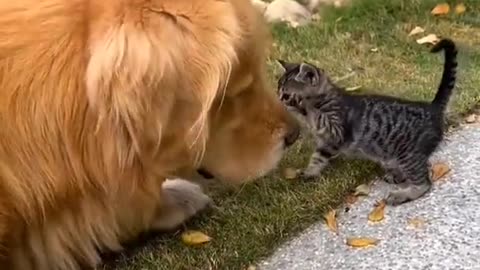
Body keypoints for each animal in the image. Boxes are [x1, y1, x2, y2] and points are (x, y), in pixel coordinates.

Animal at [276, 38, 456, 207]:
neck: (326, 100)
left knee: (424, 182)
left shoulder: (337, 129)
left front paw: (303, 106)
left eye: (285, 95)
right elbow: (317, 157)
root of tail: (432, 107)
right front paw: (310, 172)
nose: (278, 100)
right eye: (279, 91)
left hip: (408, 153)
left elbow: (315, 116)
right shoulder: (327, 142)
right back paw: (396, 175)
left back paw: (402, 194)